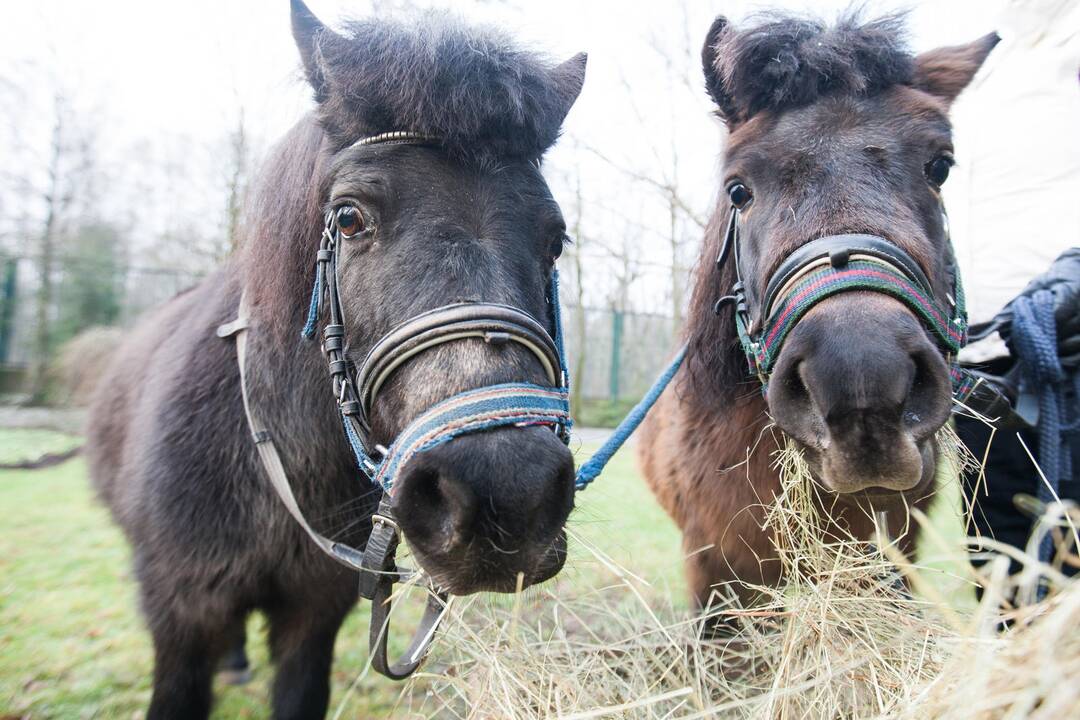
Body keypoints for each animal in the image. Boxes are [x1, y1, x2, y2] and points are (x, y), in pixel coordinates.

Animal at [87, 2, 587, 716]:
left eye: (555, 239)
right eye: (348, 218)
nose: (507, 489)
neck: (272, 460)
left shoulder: (312, 618)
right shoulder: (180, 615)